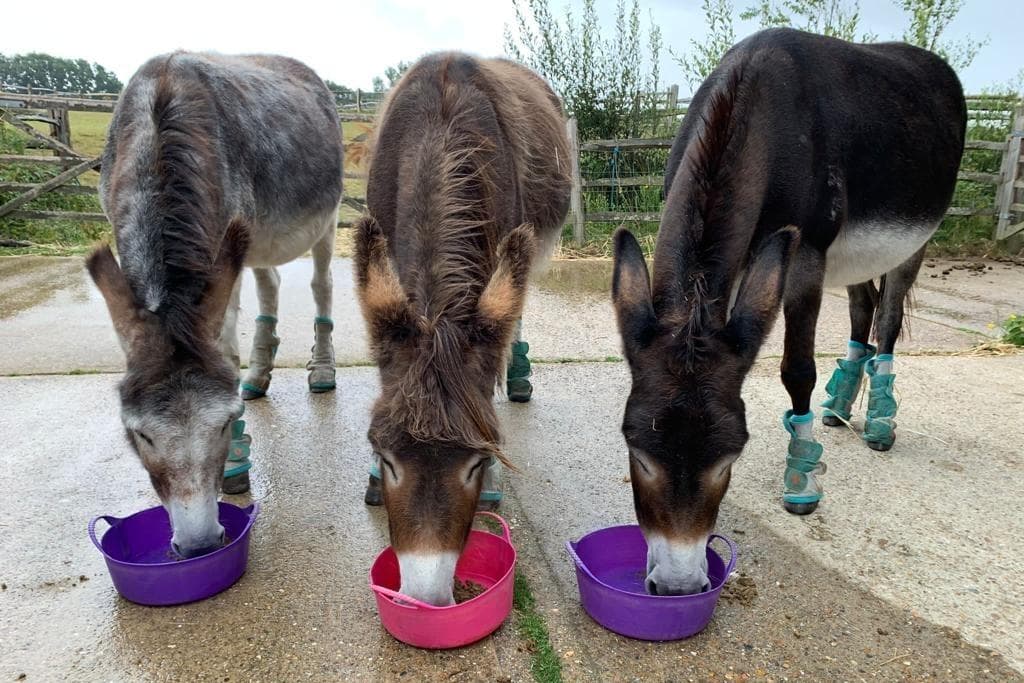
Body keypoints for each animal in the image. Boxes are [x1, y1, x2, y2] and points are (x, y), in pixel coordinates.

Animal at [87, 51, 343, 557]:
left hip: (324, 219)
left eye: (225, 423)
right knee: (270, 281)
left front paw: (236, 463)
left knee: (320, 283)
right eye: (140, 434)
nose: (199, 545)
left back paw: (321, 369)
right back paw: (259, 373)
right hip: (258, 235)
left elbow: (224, 347)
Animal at [611, 28, 965, 595]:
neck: (750, 98)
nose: (678, 587)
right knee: (864, 305)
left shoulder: (804, 255)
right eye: (638, 454)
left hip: (912, 239)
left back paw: (879, 421)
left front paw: (801, 473)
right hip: (853, 256)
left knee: (888, 317)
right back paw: (839, 406)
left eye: (730, 458)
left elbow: (797, 369)